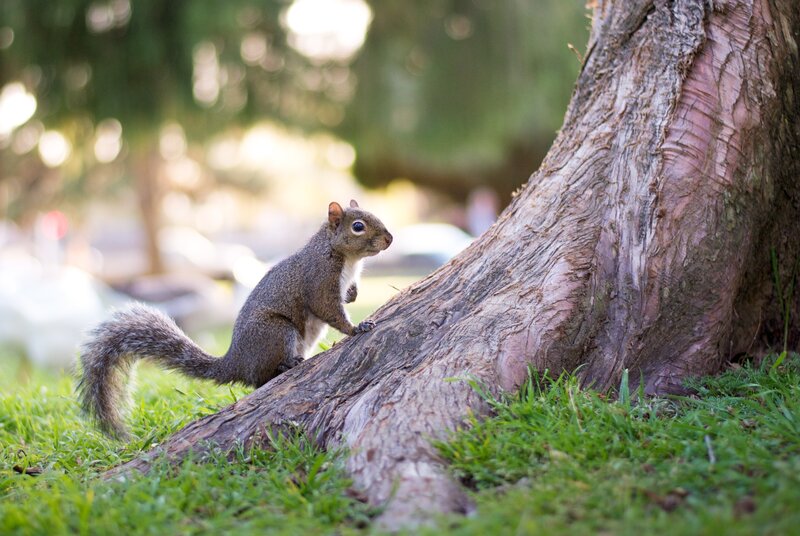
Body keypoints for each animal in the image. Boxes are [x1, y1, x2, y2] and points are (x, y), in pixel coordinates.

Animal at [77, 200, 393, 439]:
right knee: (260, 379)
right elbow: (328, 309)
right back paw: (286, 365)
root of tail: (235, 360)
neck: (342, 256)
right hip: (277, 331)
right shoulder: (319, 279)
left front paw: (353, 294)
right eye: (358, 226)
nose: (390, 239)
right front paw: (356, 328)